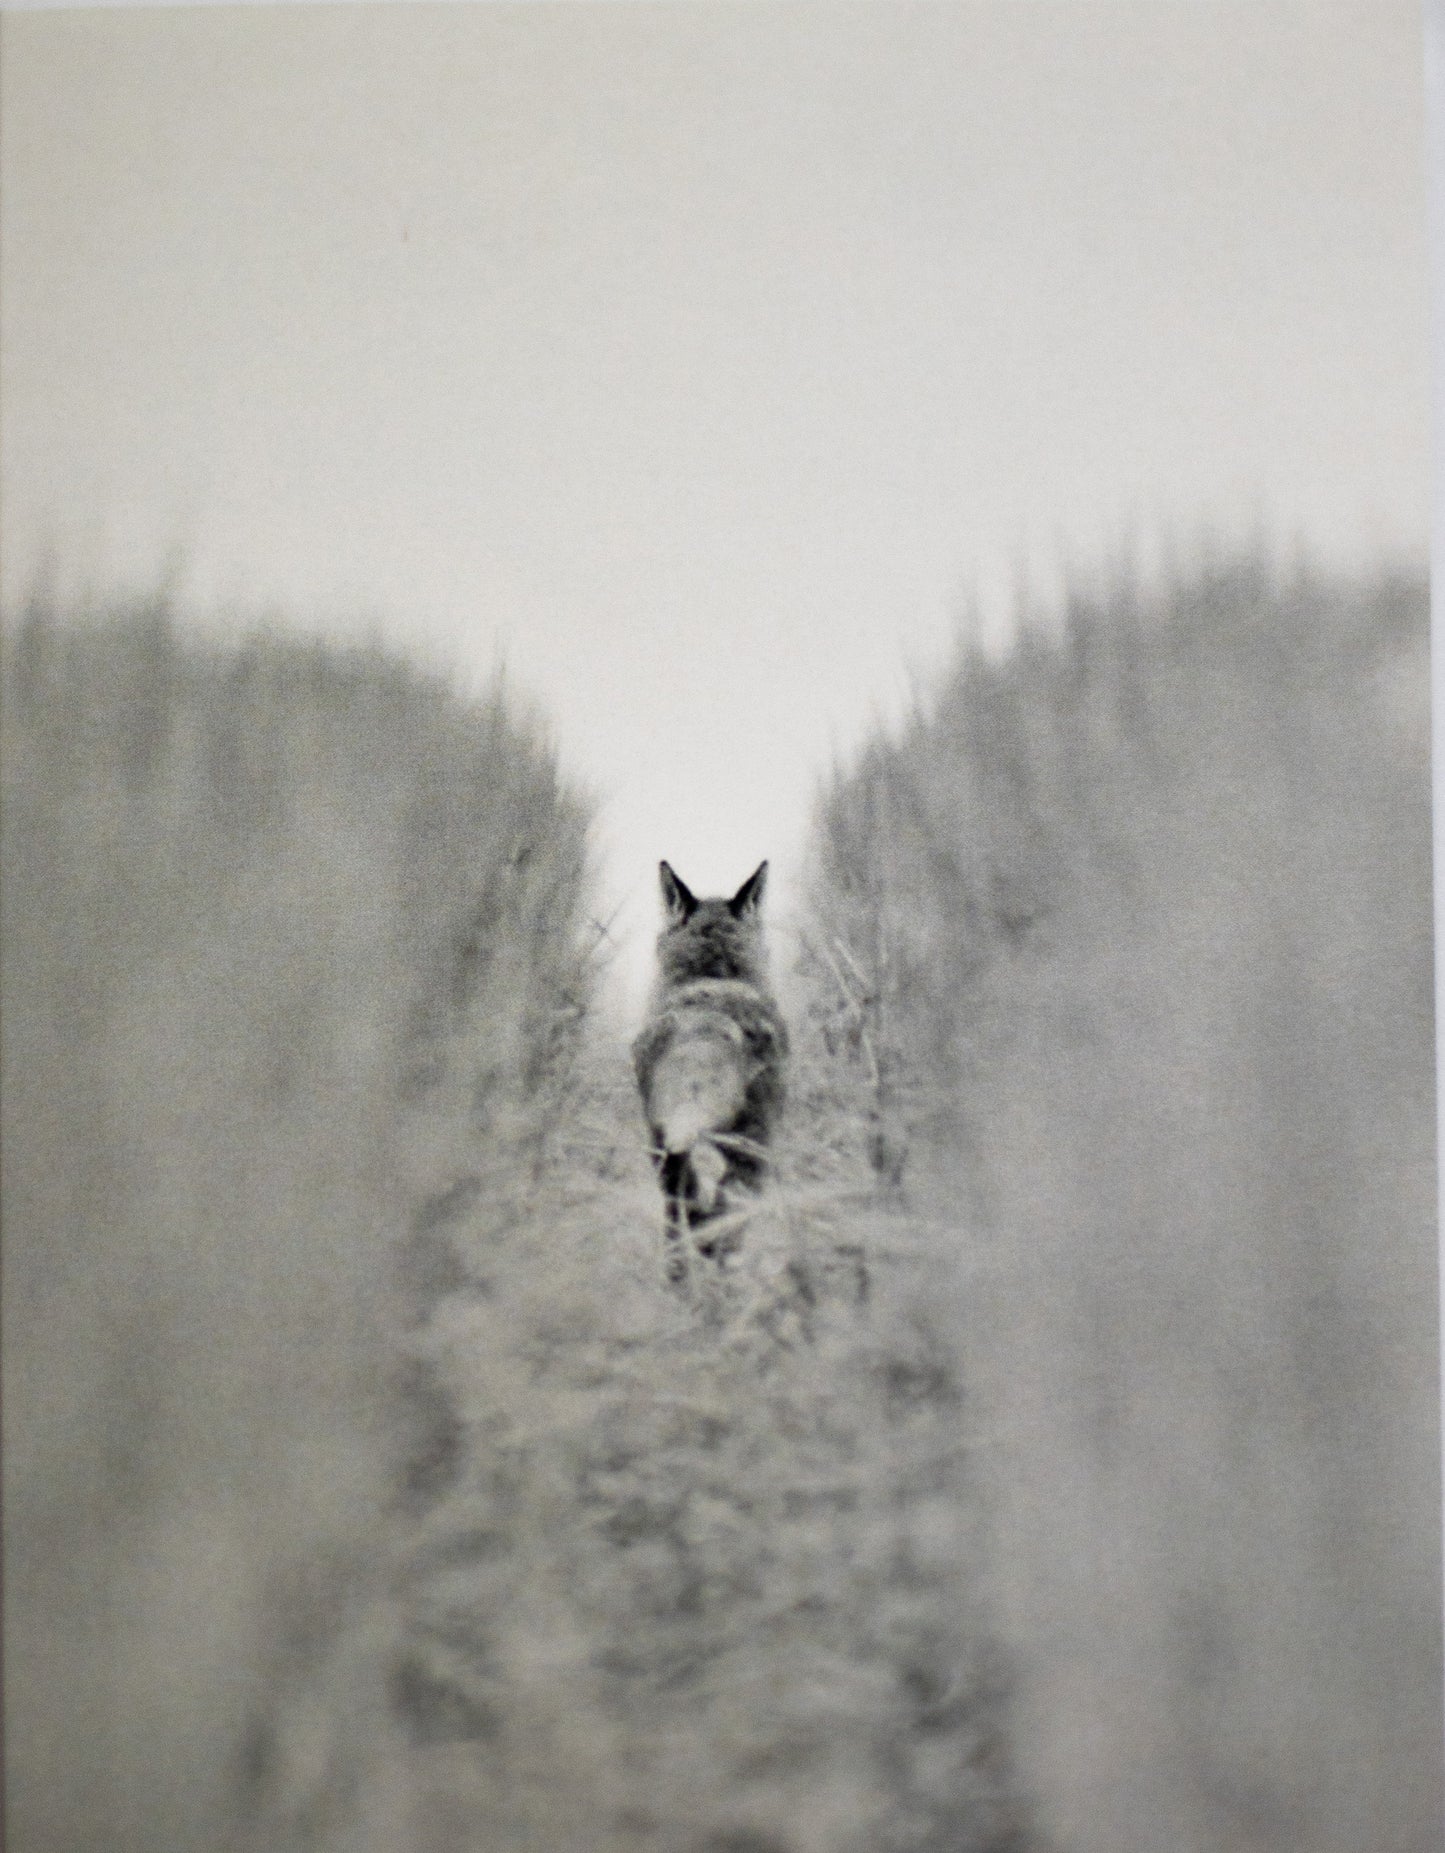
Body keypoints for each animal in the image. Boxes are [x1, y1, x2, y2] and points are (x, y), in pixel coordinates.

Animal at [632, 860, 789, 1277]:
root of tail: (703, 1030)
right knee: (718, 1226)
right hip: (748, 1154)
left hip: (665, 1151)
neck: (714, 975)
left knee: (682, 1225)